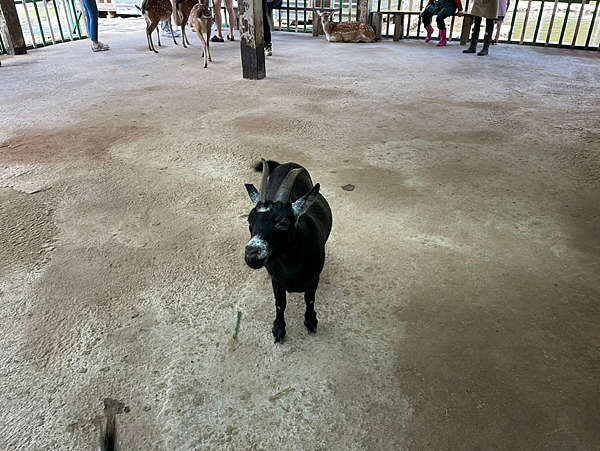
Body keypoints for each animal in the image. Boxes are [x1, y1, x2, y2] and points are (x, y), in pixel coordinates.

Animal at [244, 161, 332, 344]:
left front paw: (310, 322)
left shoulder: (314, 278)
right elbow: (280, 303)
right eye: (250, 220)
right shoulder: (277, 281)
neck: (293, 271)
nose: (251, 254)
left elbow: (309, 299)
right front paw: (278, 329)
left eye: (283, 222)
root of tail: (286, 164)